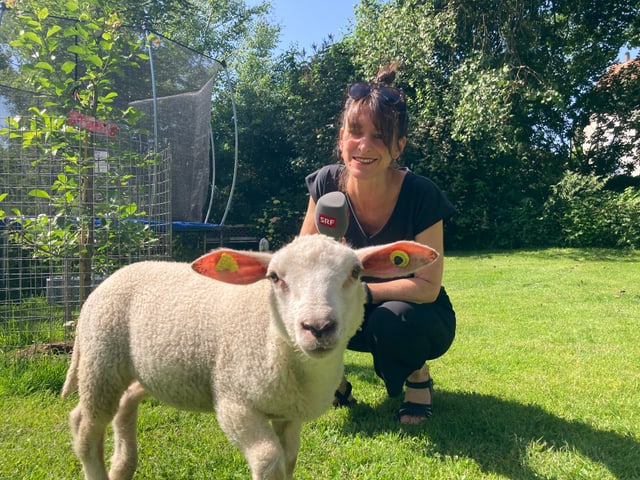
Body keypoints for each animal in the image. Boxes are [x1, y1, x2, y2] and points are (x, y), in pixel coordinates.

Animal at [61, 234, 440, 478]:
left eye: (356, 273)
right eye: (274, 277)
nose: (317, 326)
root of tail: (114, 275)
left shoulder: (289, 412)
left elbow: (289, 460)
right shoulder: (234, 403)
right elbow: (269, 461)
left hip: (135, 371)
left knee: (125, 405)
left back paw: (122, 467)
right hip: (100, 360)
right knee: (85, 427)